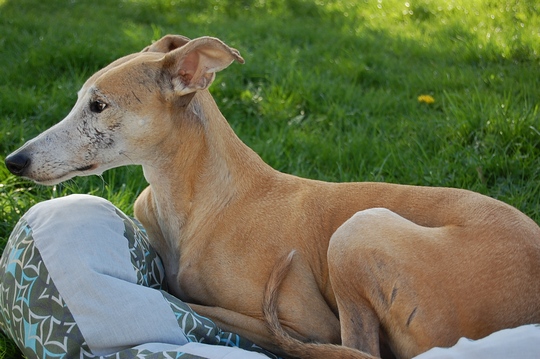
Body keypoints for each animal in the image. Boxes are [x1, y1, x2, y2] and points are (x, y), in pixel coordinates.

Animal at [4, 34, 540, 359]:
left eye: (98, 105)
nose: (15, 161)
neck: (201, 200)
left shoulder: (312, 321)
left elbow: (190, 305)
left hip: (358, 229)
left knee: (361, 351)